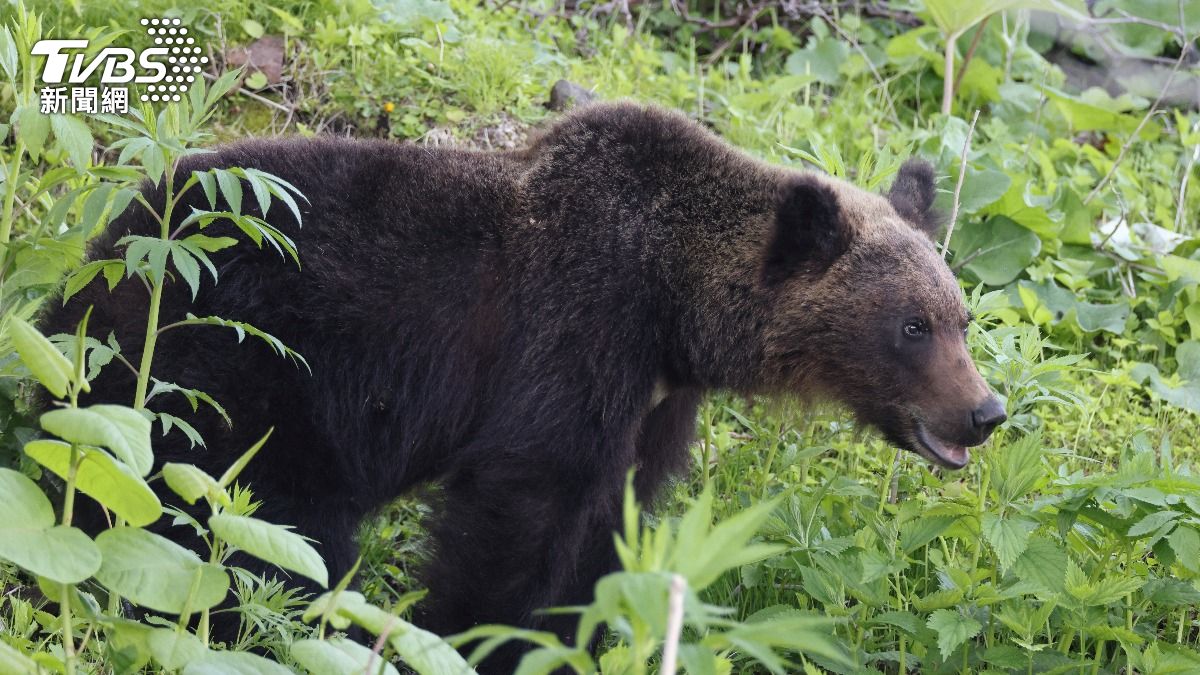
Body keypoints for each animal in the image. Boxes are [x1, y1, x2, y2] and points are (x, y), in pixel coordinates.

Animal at [40, 101, 1005, 670]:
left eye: (960, 316)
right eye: (912, 326)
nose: (985, 410)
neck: (674, 309)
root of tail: (102, 255)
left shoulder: (652, 404)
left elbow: (608, 525)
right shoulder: (572, 329)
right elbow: (522, 507)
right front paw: (473, 637)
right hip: (232, 364)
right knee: (247, 527)